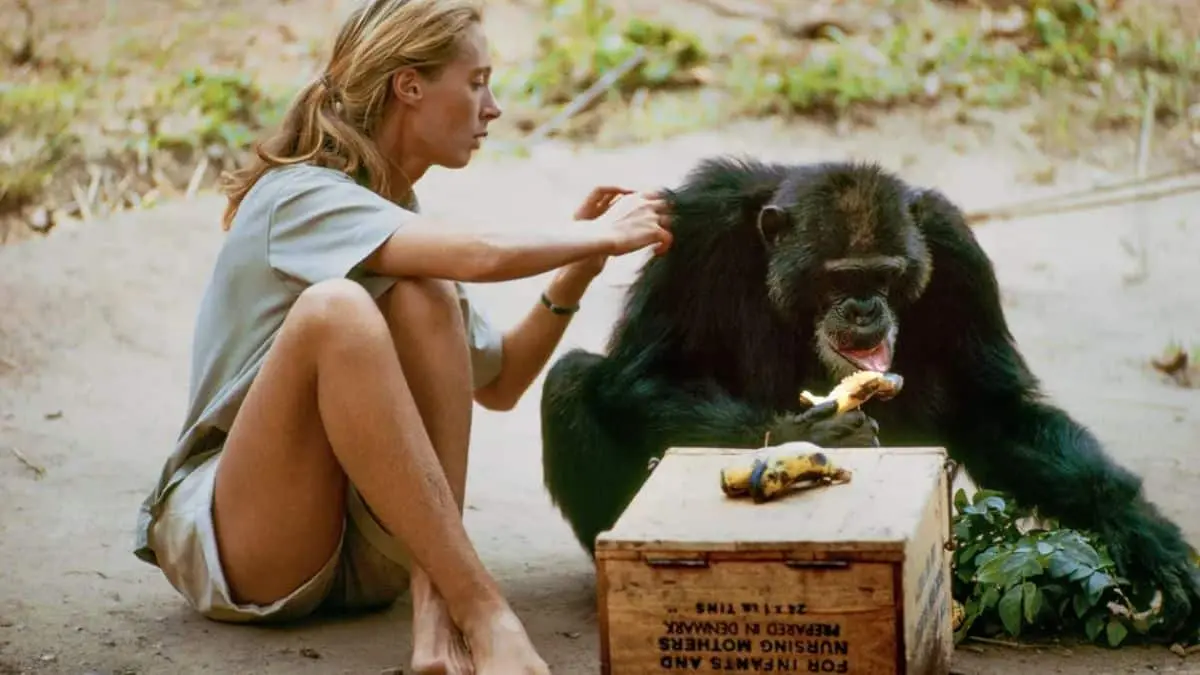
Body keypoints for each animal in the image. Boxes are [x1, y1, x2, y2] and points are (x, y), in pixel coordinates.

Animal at [538, 155, 1200, 643]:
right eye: (839, 277)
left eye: (884, 274)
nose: (863, 308)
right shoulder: (697, 230)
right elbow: (641, 374)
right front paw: (810, 435)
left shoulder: (955, 248)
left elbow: (992, 408)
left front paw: (1143, 534)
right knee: (571, 378)